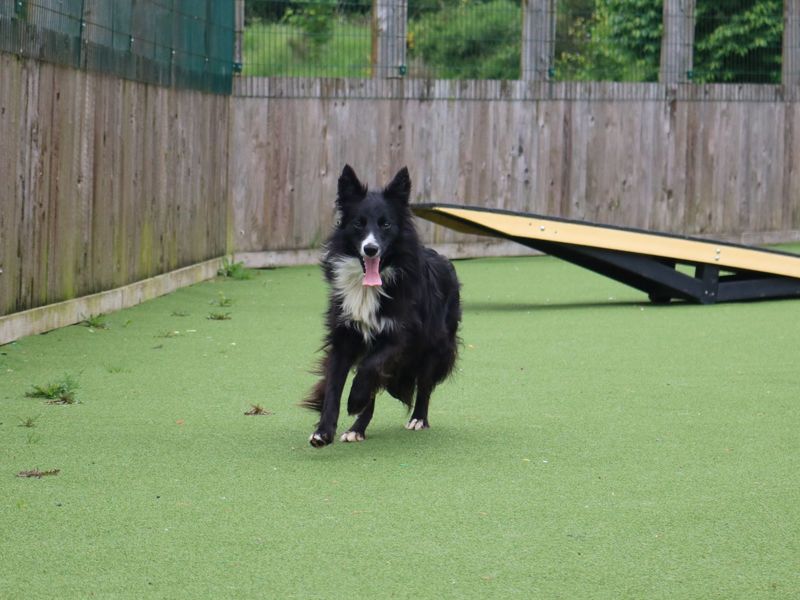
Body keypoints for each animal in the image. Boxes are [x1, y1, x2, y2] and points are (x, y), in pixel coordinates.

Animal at [302, 164, 462, 446]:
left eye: (386, 224)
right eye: (358, 223)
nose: (371, 249)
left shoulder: (400, 336)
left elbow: (370, 367)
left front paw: (354, 401)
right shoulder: (343, 335)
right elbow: (334, 384)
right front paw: (323, 431)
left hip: (435, 343)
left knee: (424, 383)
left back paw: (418, 418)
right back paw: (357, 428)